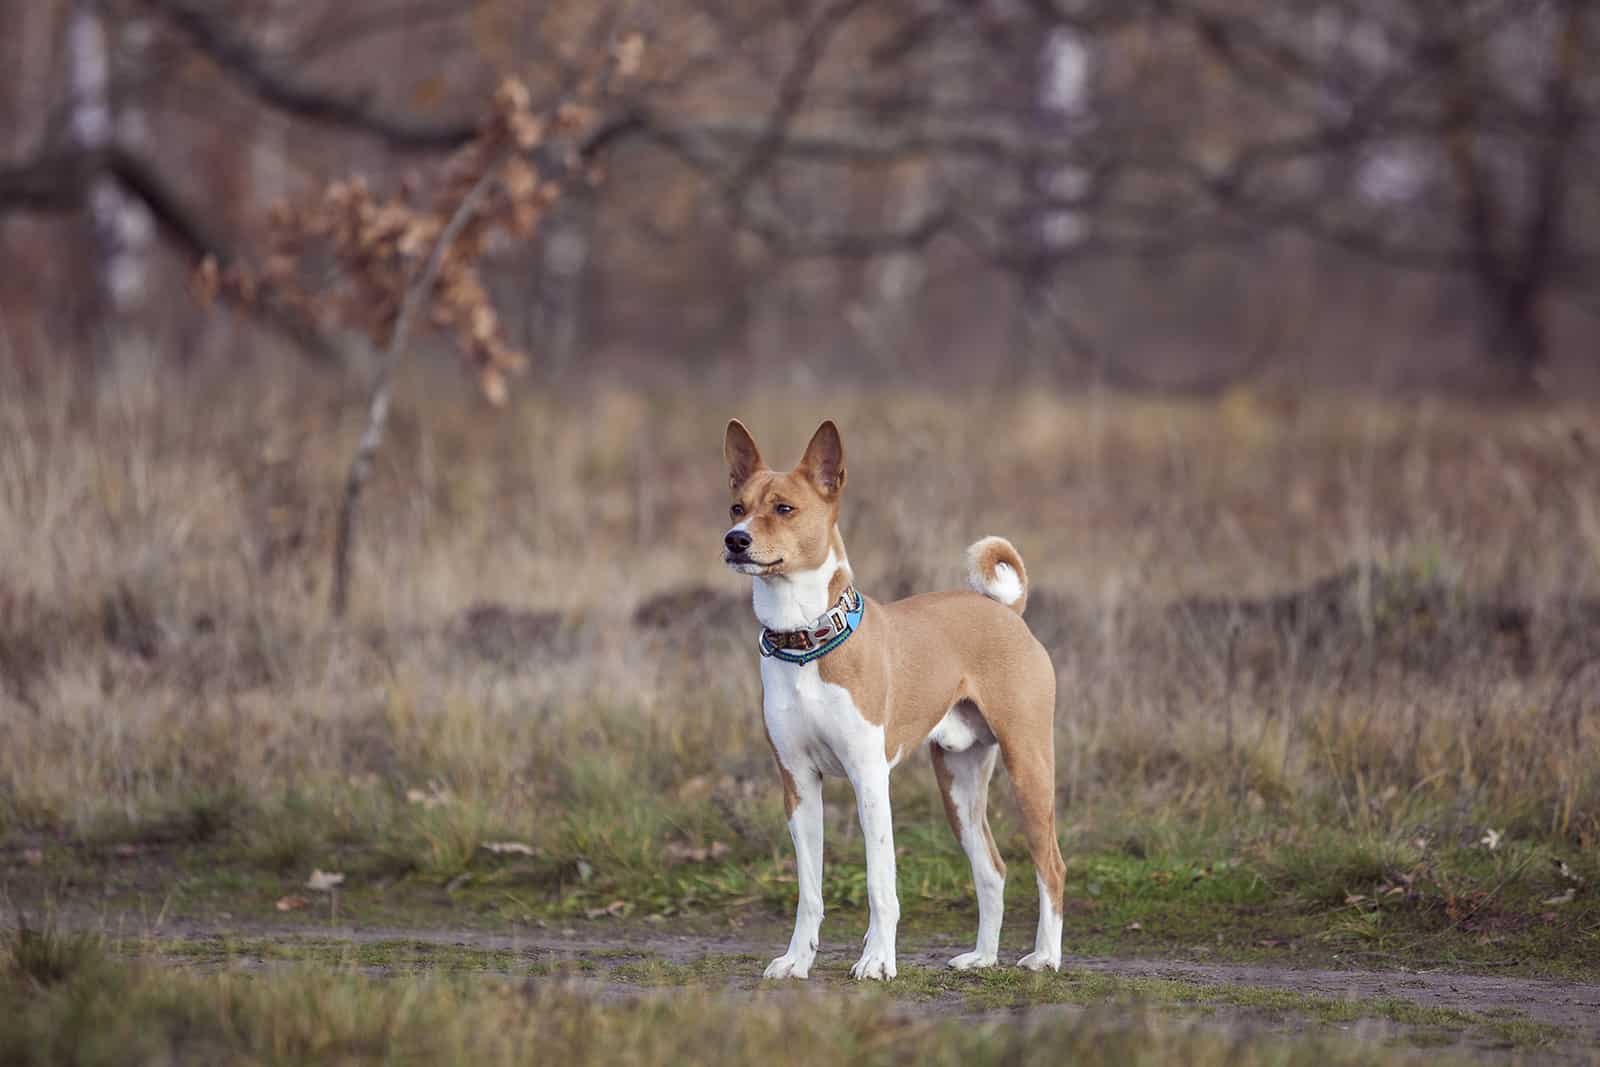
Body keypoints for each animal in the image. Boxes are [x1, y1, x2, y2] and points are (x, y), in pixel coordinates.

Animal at [723, 419, 1062, 985]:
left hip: (1029, 768)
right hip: (959, 785)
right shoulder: (798, 785)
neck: (806, 641)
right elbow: (809, 893)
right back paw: (982, 957)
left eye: (784, 508)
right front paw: (797, 960)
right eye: (736, 507)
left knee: (1050, 866)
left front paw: (878, 960)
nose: (735, 540)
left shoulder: (869, 779)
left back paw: (1046, 957)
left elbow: (880, 885)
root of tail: (1006, 610)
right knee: (992, 870)